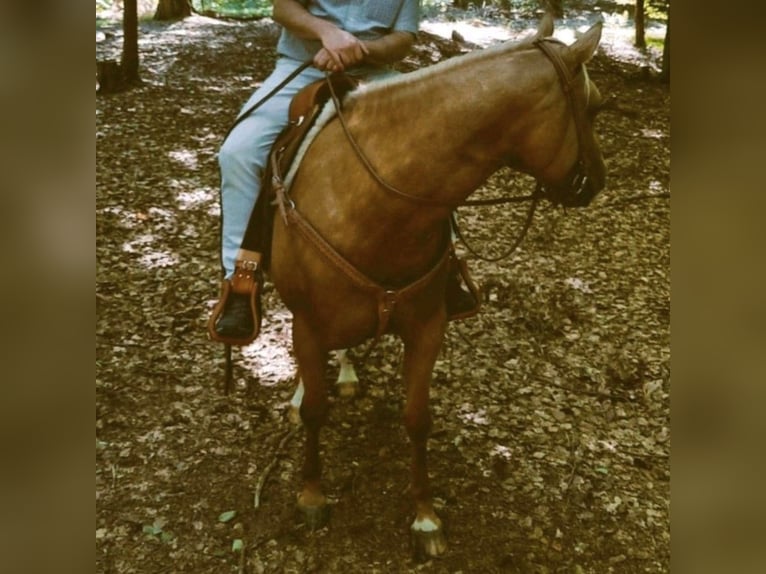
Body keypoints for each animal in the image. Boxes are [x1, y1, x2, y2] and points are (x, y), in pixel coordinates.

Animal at [268, 14, 608, 560]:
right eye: (595, 108)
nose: (596, 181)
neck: (377, 201)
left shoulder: (428, 326)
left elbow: (417, 417)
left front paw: (425, 517)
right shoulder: (310, 324)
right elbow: (317, 411)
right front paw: (312, 494)